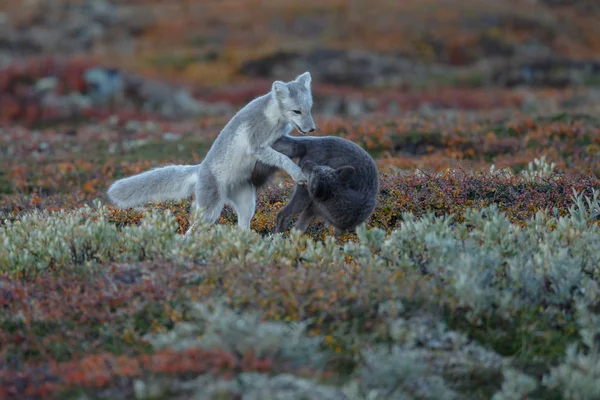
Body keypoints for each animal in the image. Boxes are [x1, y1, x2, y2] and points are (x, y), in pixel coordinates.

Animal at [105, 72, 316, 231]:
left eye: (309, 108)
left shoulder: (279, 138)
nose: (312, 129)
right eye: (297, 111)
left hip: (247, 203)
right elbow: (282, 159)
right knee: (191, 231)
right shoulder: (257, 145)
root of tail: (200, 169)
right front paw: (297, 173)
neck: (274, 118)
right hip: (210, 211)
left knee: (242, 225)